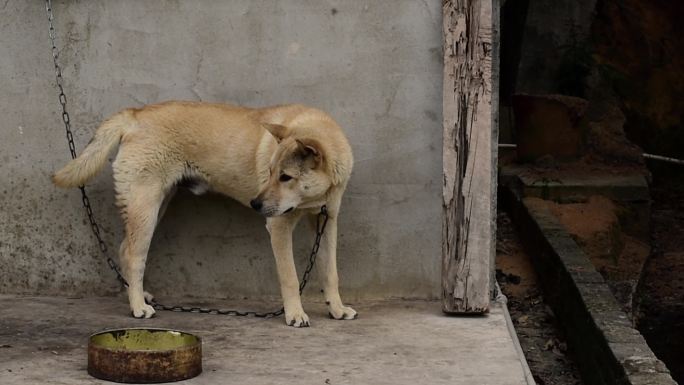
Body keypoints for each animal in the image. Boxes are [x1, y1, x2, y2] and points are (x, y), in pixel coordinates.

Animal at [52, 100, 358, 326]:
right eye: (271, 173)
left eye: (285, 177)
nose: (255, 204)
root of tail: (136, 115)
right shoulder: (279, 228)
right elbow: (290, 277)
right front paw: (295, 314)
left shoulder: (326, 222)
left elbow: (331, 271)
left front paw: (336, 308)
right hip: (145, 207)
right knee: (132, 254)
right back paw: (138, 306)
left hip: (156, 205)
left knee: (124, 248)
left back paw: (138, 295)